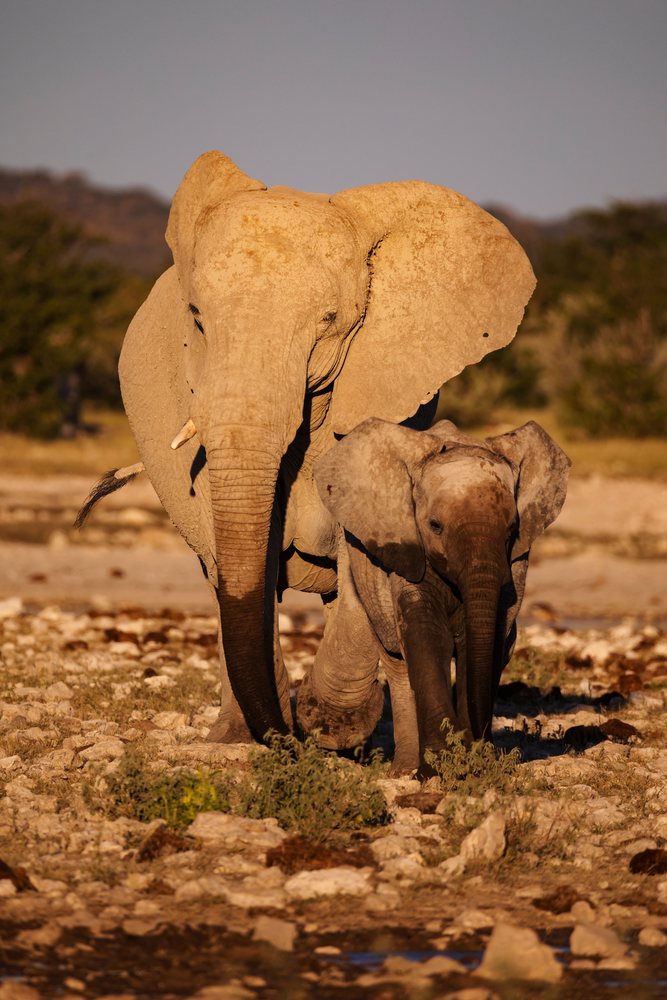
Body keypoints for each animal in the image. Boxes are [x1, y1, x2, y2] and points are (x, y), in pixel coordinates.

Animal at [117, 149, 536, 745]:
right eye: (195, 318)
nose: (287, 736)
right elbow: (239, 562)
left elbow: (360, 550)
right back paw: (234, 739)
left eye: (330, 321)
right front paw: (296, 729)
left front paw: (329, 723)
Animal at [296, 418, 570, 774]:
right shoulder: (406, 549)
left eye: (512, 529)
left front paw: (474, 762)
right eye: (435, 526)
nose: (481, 744)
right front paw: (443, 765)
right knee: (398, 667)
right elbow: (428, 634)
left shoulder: (516, 563)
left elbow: (482, 639)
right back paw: (405, 770)